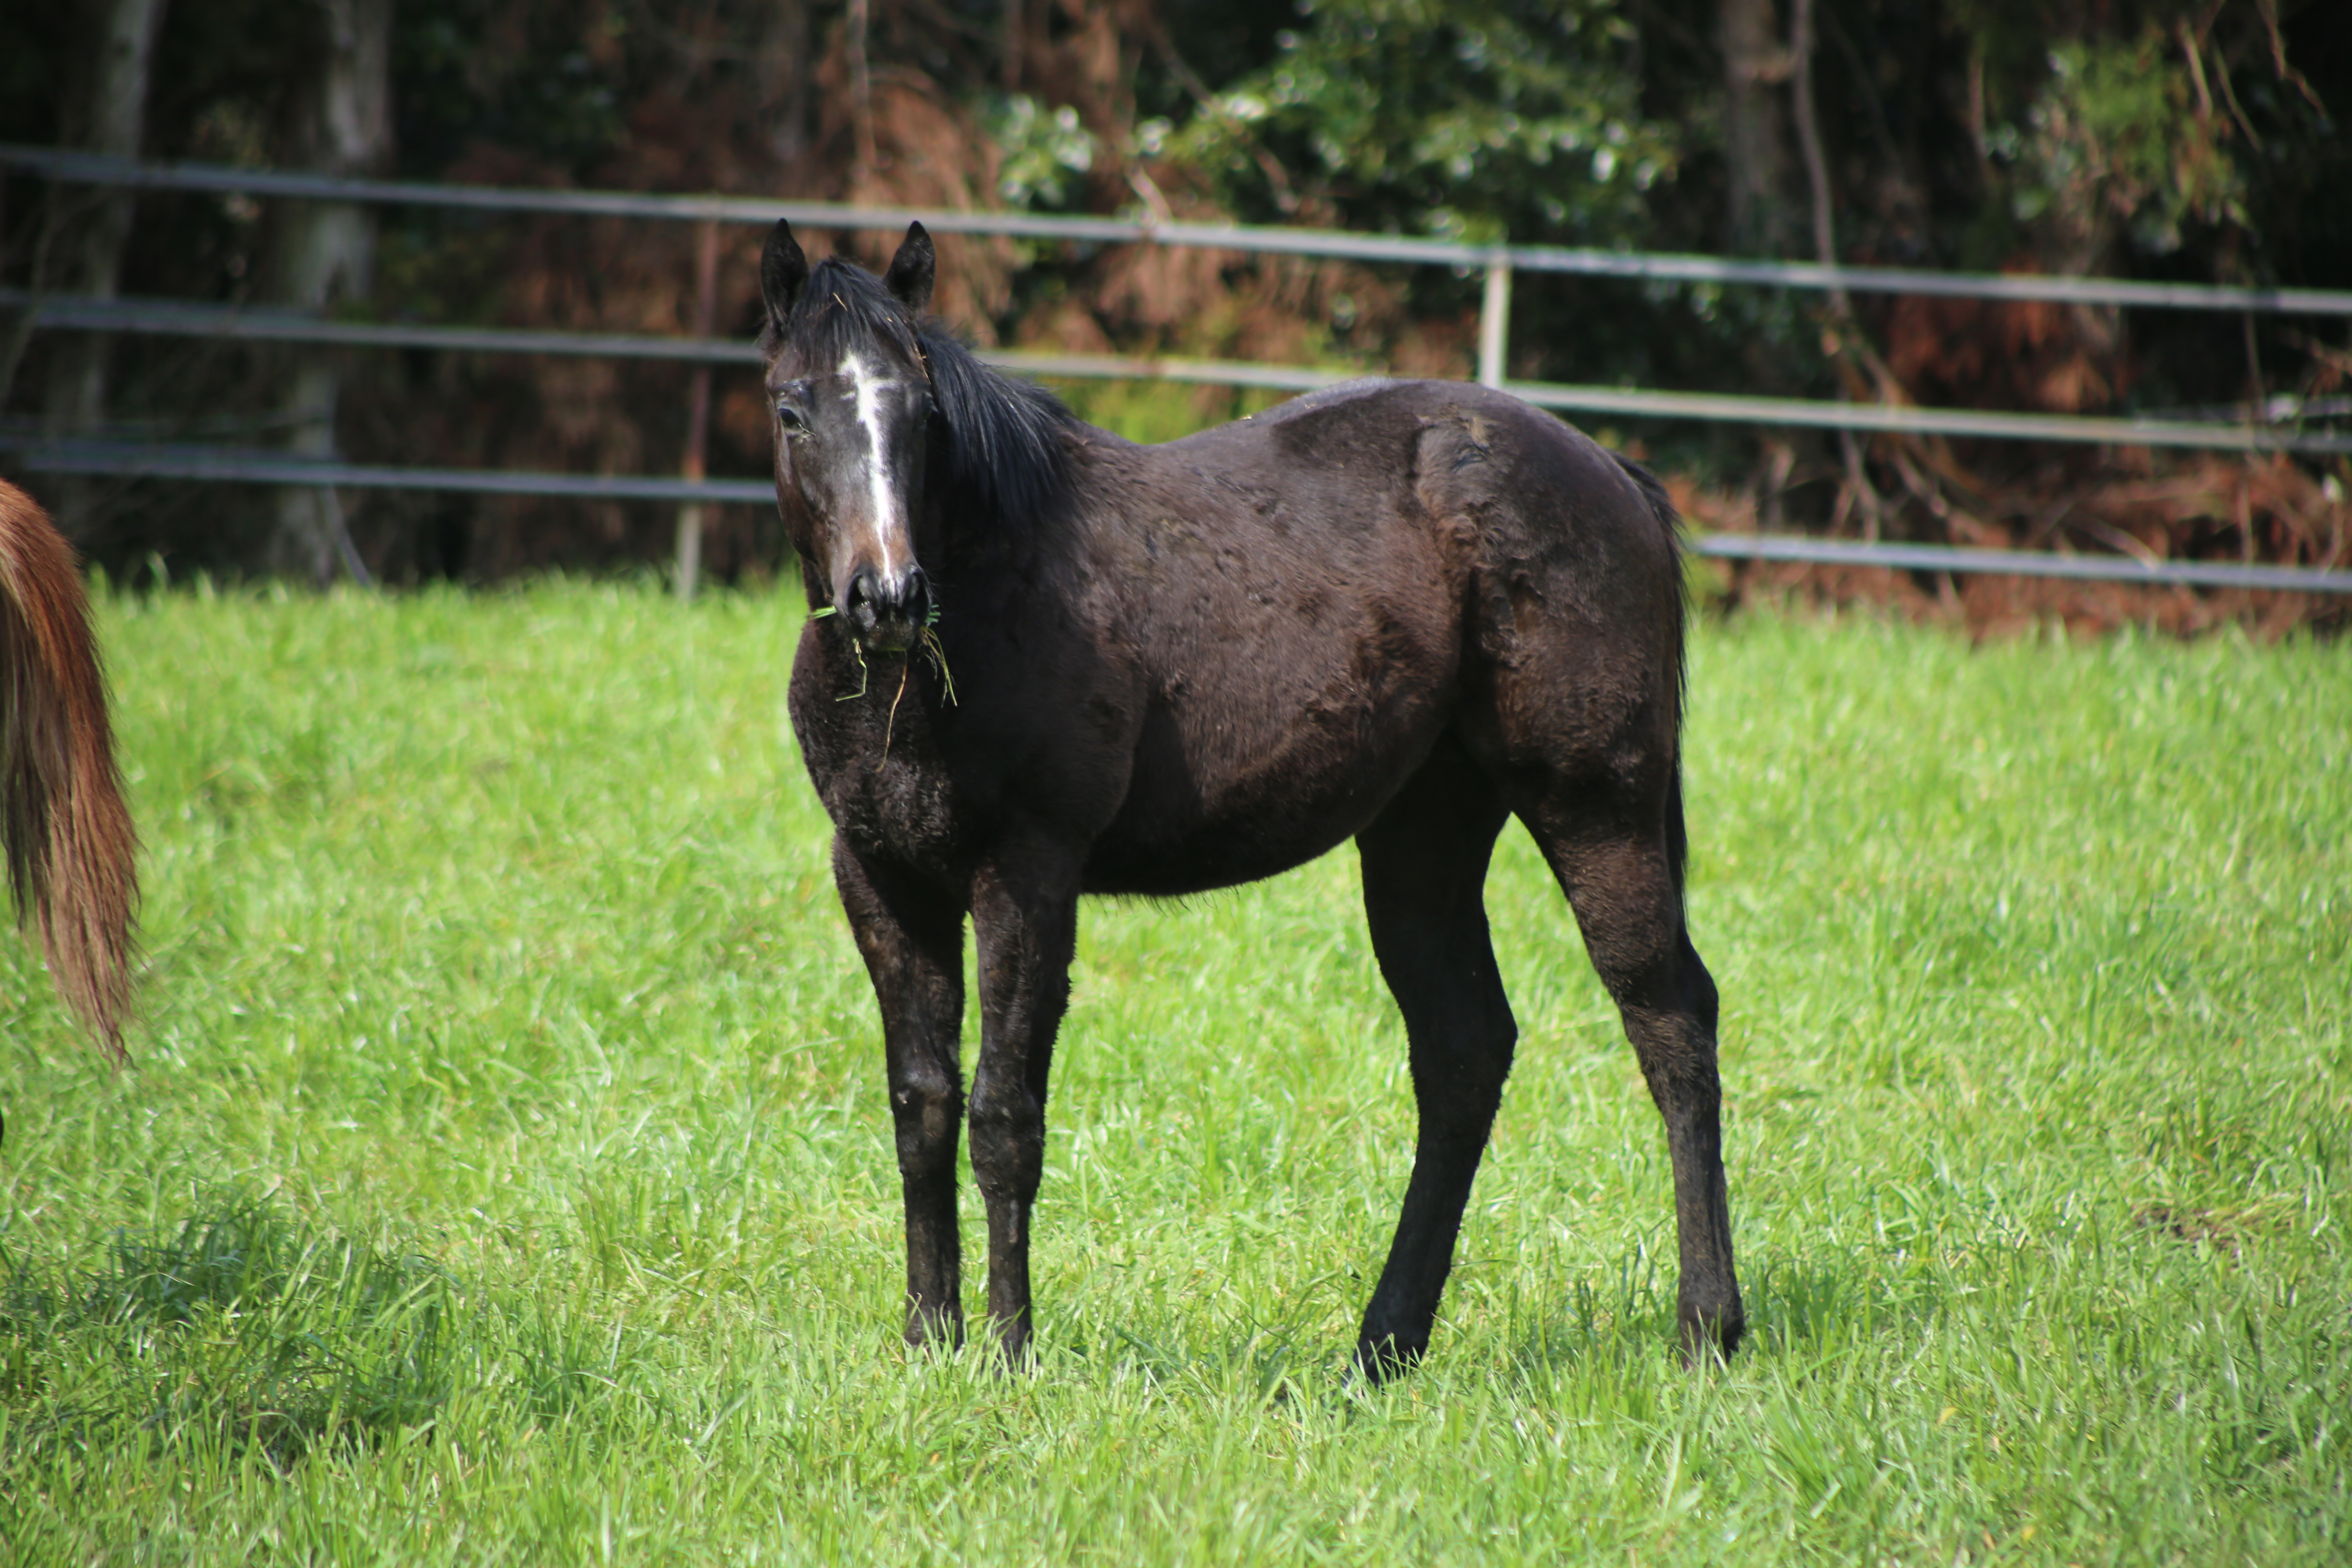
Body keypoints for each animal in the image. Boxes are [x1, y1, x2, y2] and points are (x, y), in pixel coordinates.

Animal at [762, 217, 1740, 1373]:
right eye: (792, 408)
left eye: (920, 410)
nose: (887, 598)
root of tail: (1612, 474)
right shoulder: (881, 874)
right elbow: (921, 1107)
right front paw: (927, 1340)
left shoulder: (1027, 875)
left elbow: (1004, 1116)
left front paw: (1008, 1352)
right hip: (1425, 836)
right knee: (1464, 1052)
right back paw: (1381, 1347)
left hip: (1598, 809)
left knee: (1670, 1021)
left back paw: (1706, 1329)